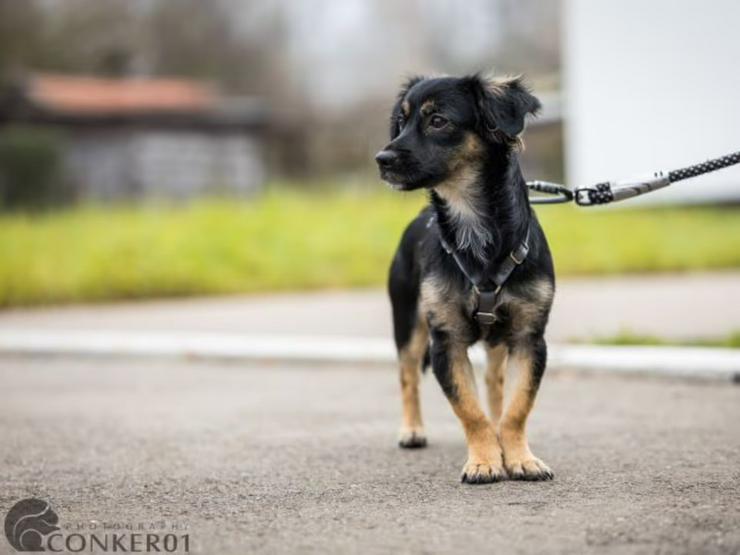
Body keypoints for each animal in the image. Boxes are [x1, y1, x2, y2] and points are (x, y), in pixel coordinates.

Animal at [376, 75, 556, 486]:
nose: (382, 159)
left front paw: (519, 457)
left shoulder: (529, 338)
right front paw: (484, 461)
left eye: (438, 121)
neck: (475, 228)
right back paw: (412, 430)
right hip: (407, 323)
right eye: (401, 122)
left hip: (497, 343)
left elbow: (518, 406)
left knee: (495, 386)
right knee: (407, 377)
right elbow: (469, 411)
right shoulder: (446, 340)